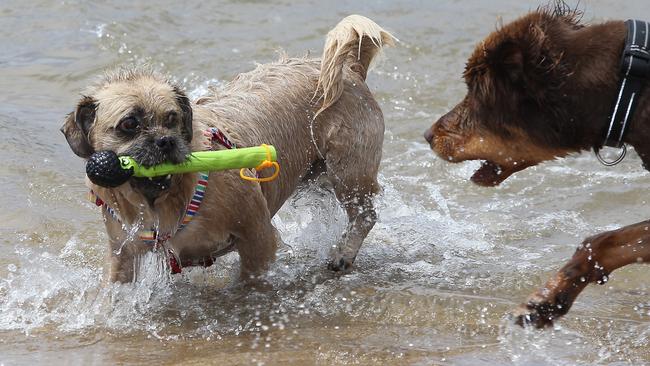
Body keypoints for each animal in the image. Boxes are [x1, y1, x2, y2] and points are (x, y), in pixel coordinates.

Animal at [62, 15, 394, 284]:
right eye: (129, 124)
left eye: (172, 118)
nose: (166, 141)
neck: (165, 201)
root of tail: (350, 70)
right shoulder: (125, 256)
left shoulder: (258, 238)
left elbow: (250, 280)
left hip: (348, 172)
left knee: (365, 214)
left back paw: (343, 253)